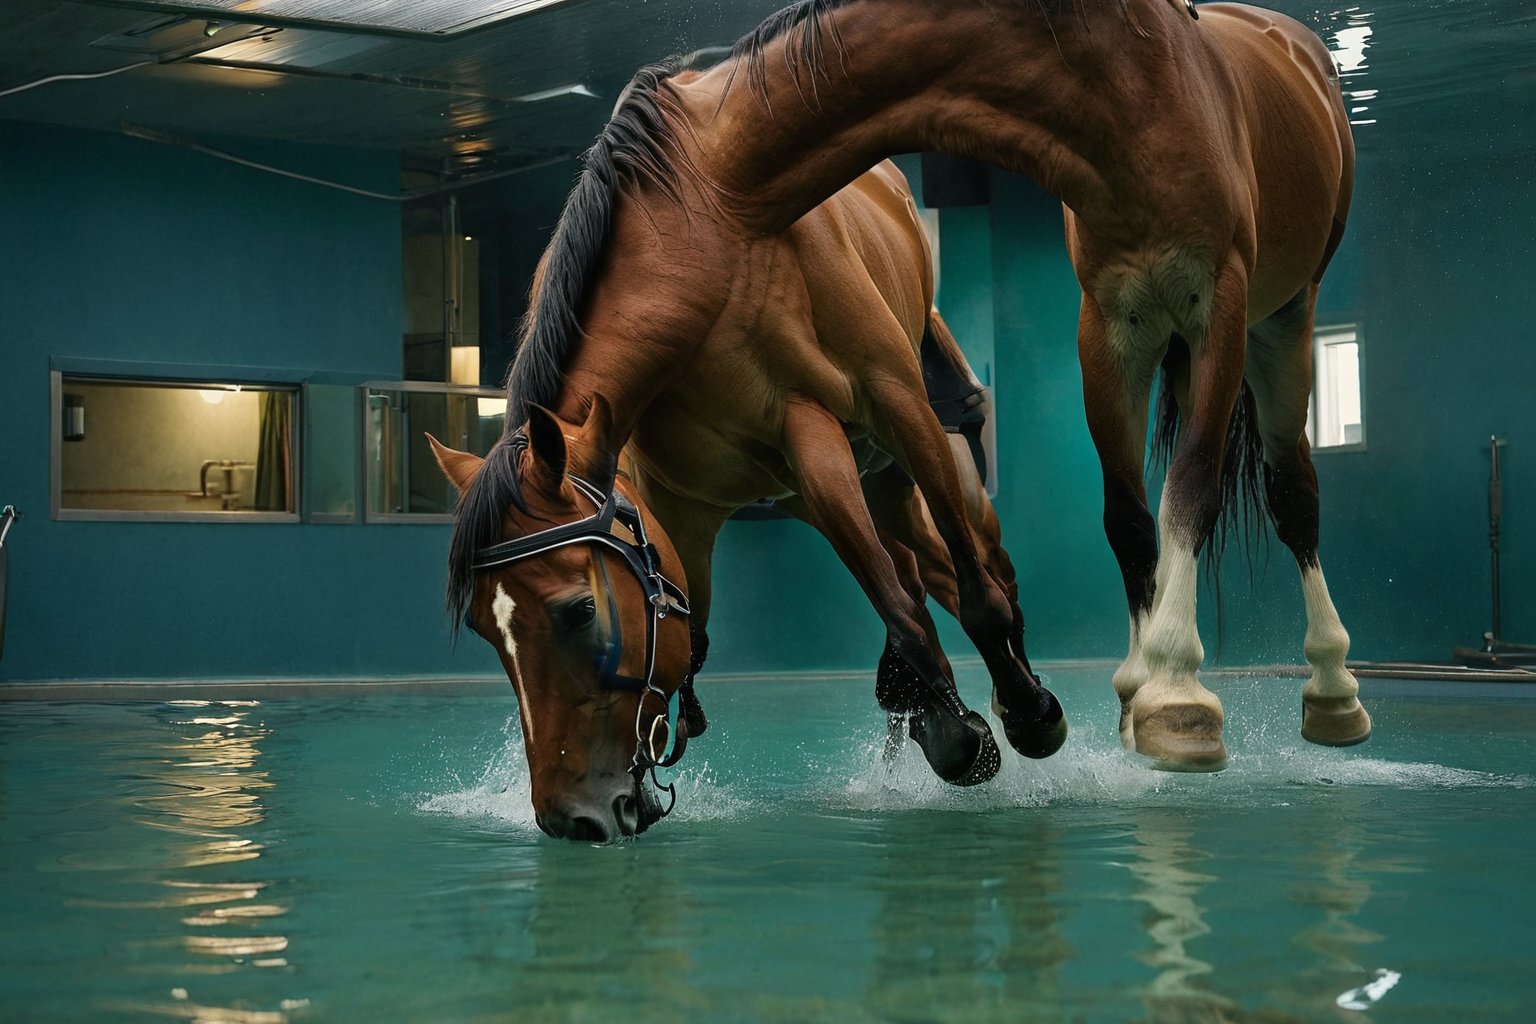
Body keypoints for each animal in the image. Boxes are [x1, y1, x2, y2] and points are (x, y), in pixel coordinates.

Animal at [433, 159, 1068, 841]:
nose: (571, 817)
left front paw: (973, 729)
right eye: (483, 628)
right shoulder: (692, 504)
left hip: (914, 445)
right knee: (922, 569)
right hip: (865, 482)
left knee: (978, 571)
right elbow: (698, 628)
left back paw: (1023, 703)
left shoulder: (826, 427)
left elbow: (898, 592)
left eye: (579, 611)